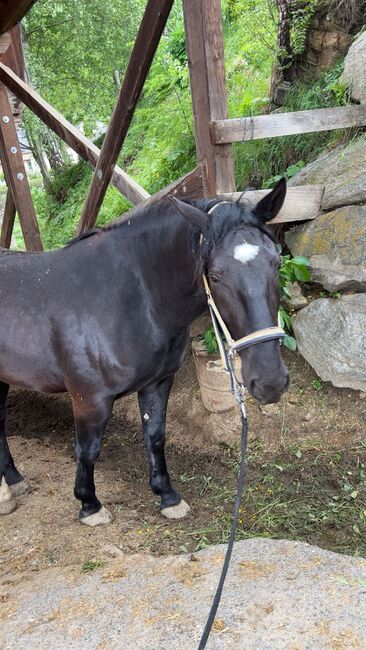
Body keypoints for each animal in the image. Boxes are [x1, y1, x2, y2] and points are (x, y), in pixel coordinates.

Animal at [0, 180, 288, 524]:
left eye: (277, 263)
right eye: (216, 275)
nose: (270, 380)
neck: (130, 296)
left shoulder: (157, 383)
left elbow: (155, 436)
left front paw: (167, 496)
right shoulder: (89, 398)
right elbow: (88, 449)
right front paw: (89, 504)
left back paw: (13, 481)